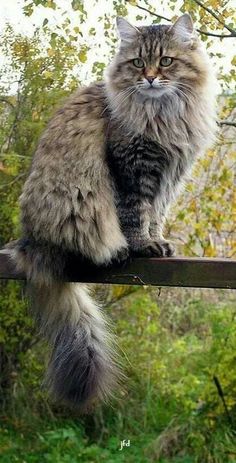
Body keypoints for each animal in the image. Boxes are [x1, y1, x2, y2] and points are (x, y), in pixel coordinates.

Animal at [6, 12, 216, 410]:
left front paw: (159, 243)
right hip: (75, 204)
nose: (149, 78)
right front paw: (142, 246)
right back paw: (114, 251)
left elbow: (156, 215)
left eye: (166, 61)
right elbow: (135, 213)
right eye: (137, 62)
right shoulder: (132, 166)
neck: (163, 114)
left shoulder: (169, 176)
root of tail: (30, 243)